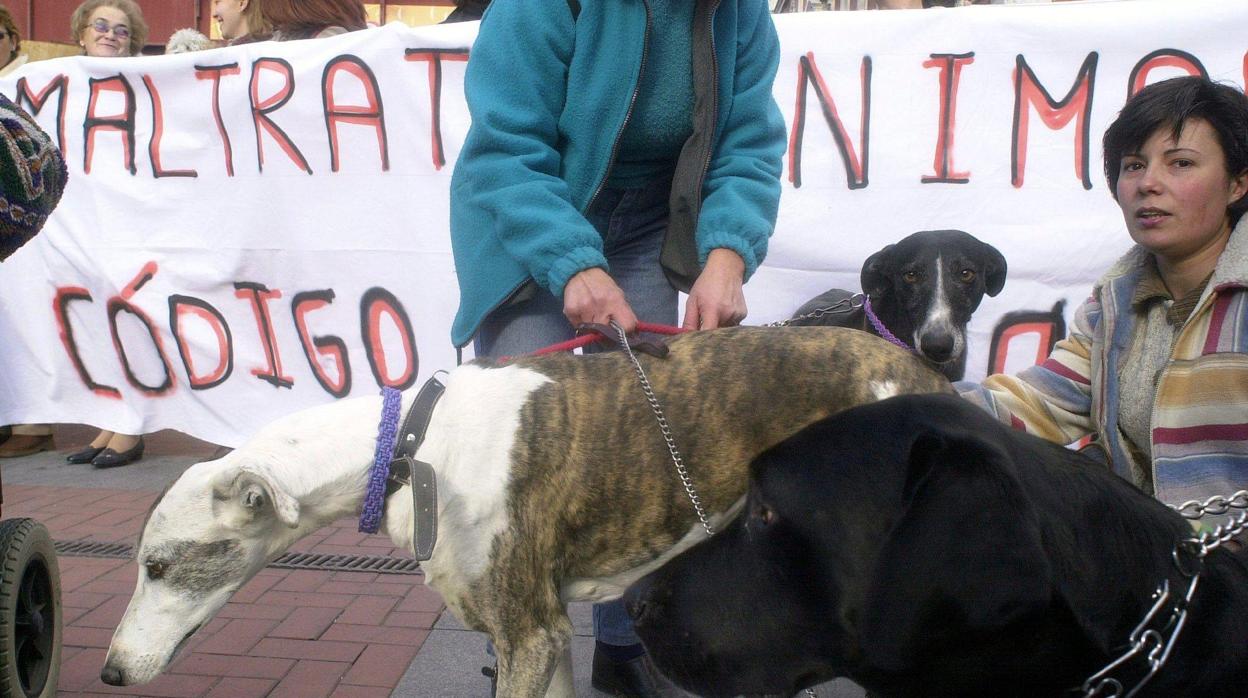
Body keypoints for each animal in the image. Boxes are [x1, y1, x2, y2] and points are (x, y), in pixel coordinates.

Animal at [104, 327, 943, 698]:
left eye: (159, 566)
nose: (110, 672)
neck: (412, 444)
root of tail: (927, 372)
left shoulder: (529, 635)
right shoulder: (546, 634)